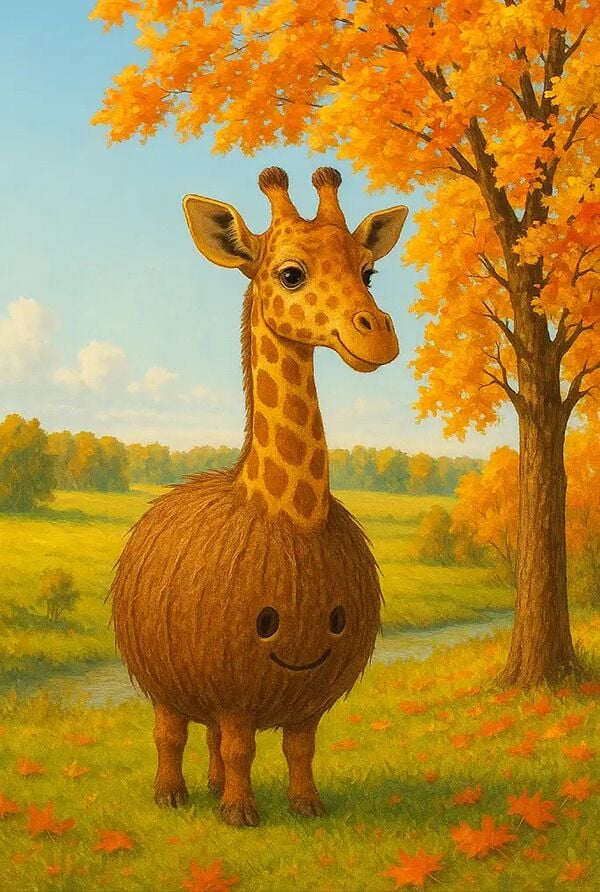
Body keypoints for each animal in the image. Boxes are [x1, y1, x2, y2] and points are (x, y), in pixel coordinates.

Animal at [110, 167, 407, 826]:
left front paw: (305, 807)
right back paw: (173, 796)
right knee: (171, 732)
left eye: (369, 272)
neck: (290, 514)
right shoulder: (233, 680)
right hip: (162, 678)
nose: (377, 338)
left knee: (212, 739)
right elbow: (242, 742)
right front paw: (241, 816)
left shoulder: (309, 692)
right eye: (290, 273)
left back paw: (213, 788)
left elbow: (297, 748)